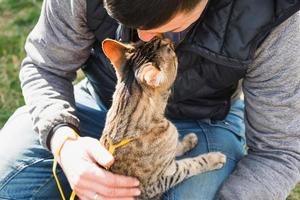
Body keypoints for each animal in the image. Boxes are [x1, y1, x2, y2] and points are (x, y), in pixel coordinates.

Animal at [99, 36, 226, 199]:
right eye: (169, 49)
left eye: (151, 39)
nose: (167, 37)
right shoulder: (156, 183)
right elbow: (189, 165)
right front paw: (213, 159)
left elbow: (175, 148)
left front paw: (187, 141)